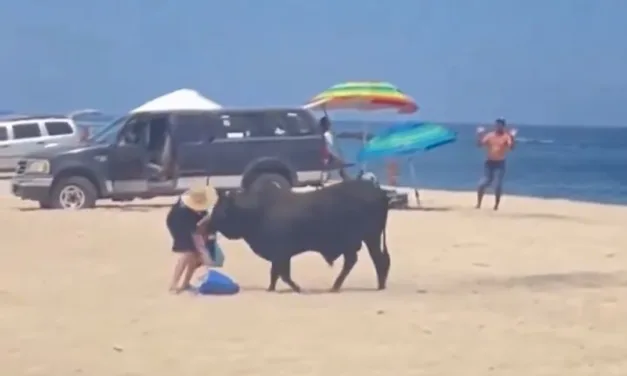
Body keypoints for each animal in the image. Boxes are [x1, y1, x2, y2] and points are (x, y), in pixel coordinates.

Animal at [199, 181, 390, 292]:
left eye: (221, 210)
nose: (204, 225)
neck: (257, 211)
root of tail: (379, 191)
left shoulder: (281, 254)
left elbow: (281, 274)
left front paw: (296, 288)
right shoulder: (281, 255)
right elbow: (276, 274)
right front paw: (272, 288)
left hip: (370, 238)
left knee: (378, 260)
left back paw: (377, 286)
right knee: (355, 260)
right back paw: (337, 286)